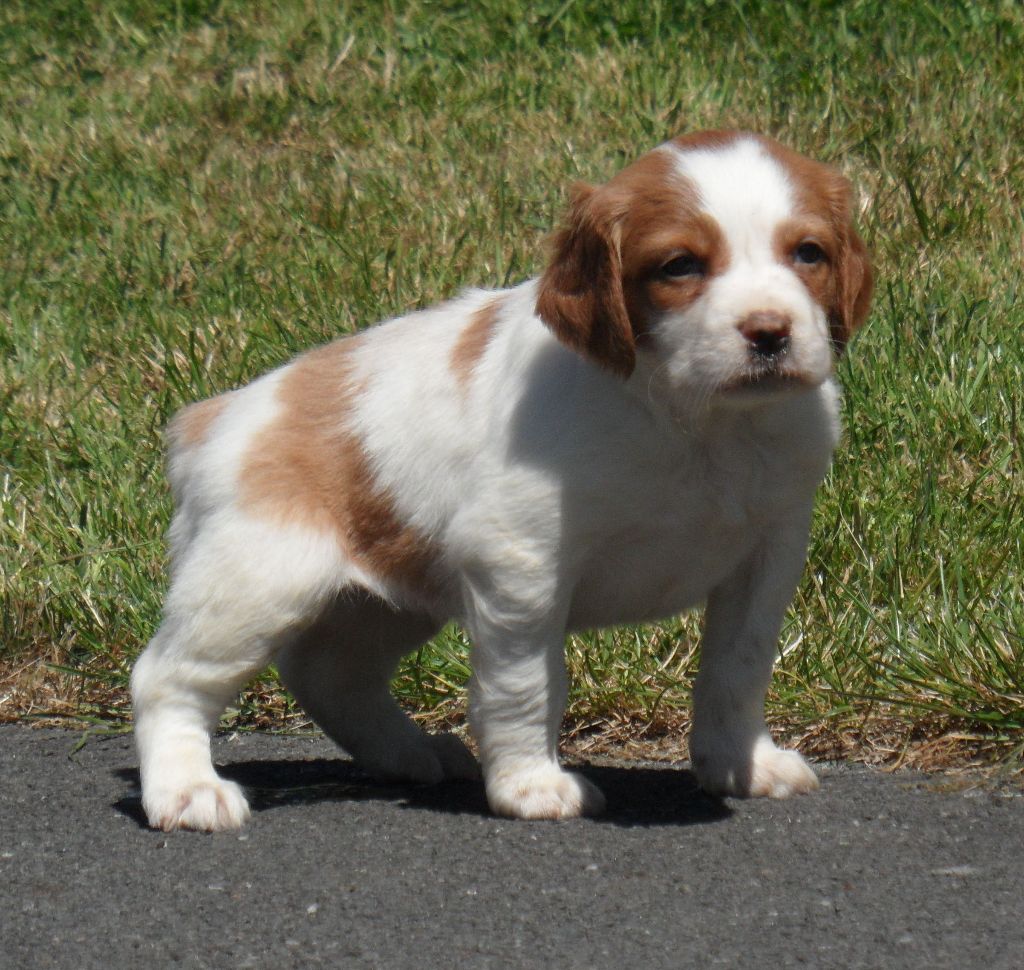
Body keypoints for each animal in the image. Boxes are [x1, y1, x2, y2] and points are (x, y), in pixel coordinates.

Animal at [131, 130, 872, 830]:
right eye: (680, 265)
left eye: (808, 253)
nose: (769, 333)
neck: (696, 420)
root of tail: (208, 417)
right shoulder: (522, 561)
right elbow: (526, 683)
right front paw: (530, 786)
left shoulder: (768, 554)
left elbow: (738, 668)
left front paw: (740, 765)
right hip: (256, 581)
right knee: (167, 679)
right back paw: (187, 790)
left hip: (391, 595)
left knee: (332, 673)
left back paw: (410, 753)